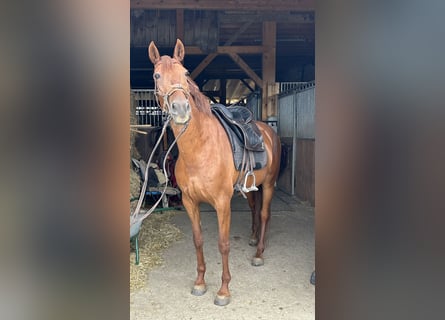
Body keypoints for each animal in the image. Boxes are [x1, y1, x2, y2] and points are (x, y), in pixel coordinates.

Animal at [149, 38, 280, 306]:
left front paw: (223, 290)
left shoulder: (222, 203)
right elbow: (198, 240)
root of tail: (268, 131)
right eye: (157, 75)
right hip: (252, 188)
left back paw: (259, 253)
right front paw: (200, 282)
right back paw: (254, 239)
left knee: (263, 214)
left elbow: (223, 244)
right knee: (255, 209)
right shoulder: (190, 202)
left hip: (270, 184)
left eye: (185, 73)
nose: (180, 109)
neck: (200, 149)